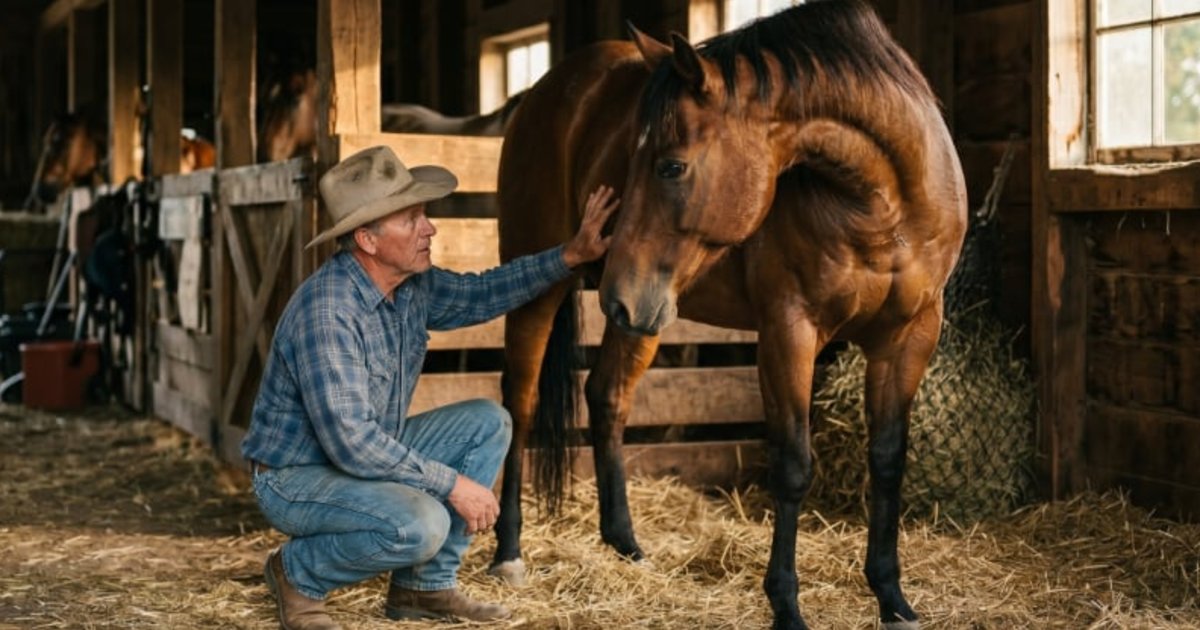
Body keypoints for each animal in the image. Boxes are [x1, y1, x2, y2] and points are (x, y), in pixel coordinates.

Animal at [491, 2, 967, 629]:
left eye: (670, 166)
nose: (616, 289)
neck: (885, 206)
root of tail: (545, 91)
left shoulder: (909, 338)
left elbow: (888, 460)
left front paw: (892, 598)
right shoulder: (789, 332)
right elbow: (792, 465)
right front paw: (786, 606)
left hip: (648, 314)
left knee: (608, 396)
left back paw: (627, 545)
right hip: (552, 290)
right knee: (518, 406)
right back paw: (508, 551)